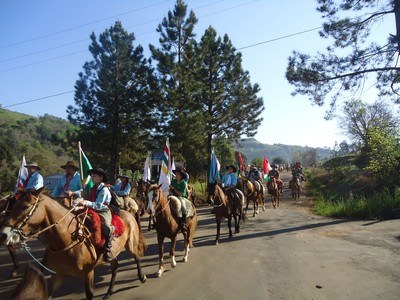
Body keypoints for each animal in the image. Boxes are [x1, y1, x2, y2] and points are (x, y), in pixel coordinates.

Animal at [0, 188, 147, 300]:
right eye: (12, 206)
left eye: (25, 206)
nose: (3, 234)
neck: (67, 240)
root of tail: (128, 213)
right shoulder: (58, 275)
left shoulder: (88, 272)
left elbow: (89, 294)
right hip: (112, 253)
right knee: (115, 267)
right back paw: (108, 293)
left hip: (131, 245)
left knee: (136, 257)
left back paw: (142, 277)